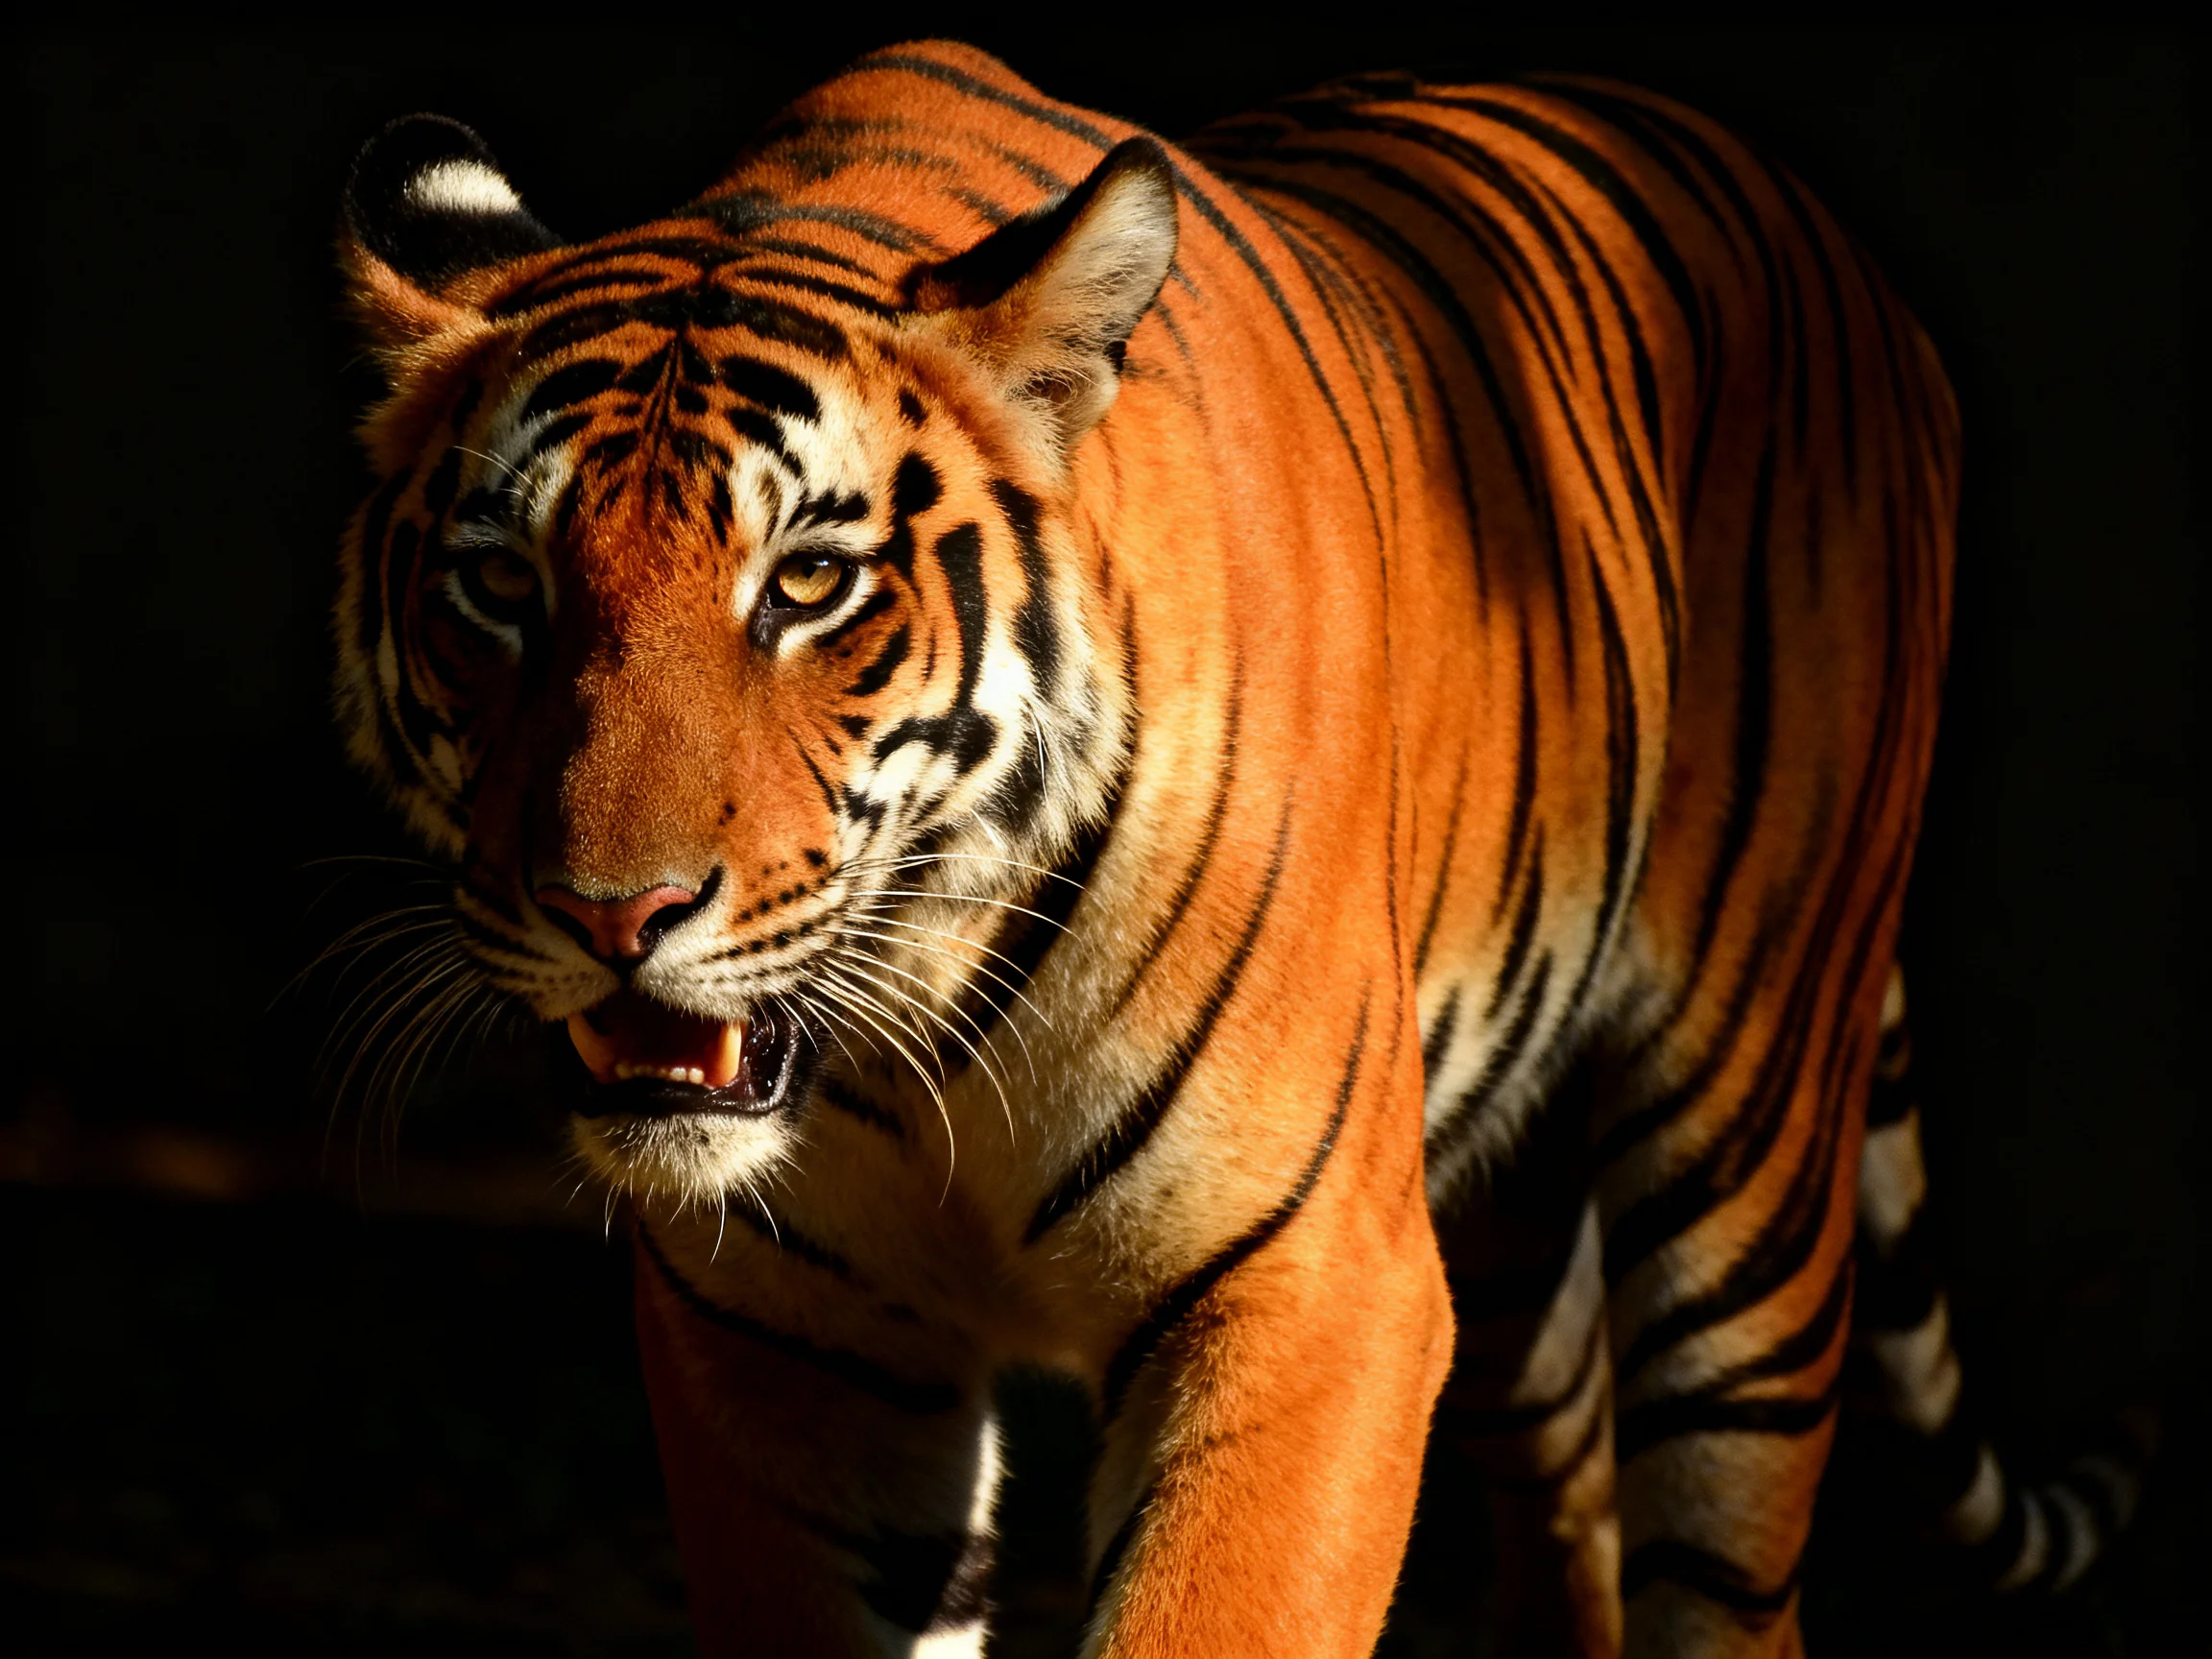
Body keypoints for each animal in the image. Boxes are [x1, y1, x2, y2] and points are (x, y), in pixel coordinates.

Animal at [331, 39, 2141, 1657]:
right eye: (501, 586)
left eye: (807, 584)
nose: (609, 912)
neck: (920, 1023)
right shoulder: (791, 1338)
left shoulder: (1314, 1287)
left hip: (1746, 1145)